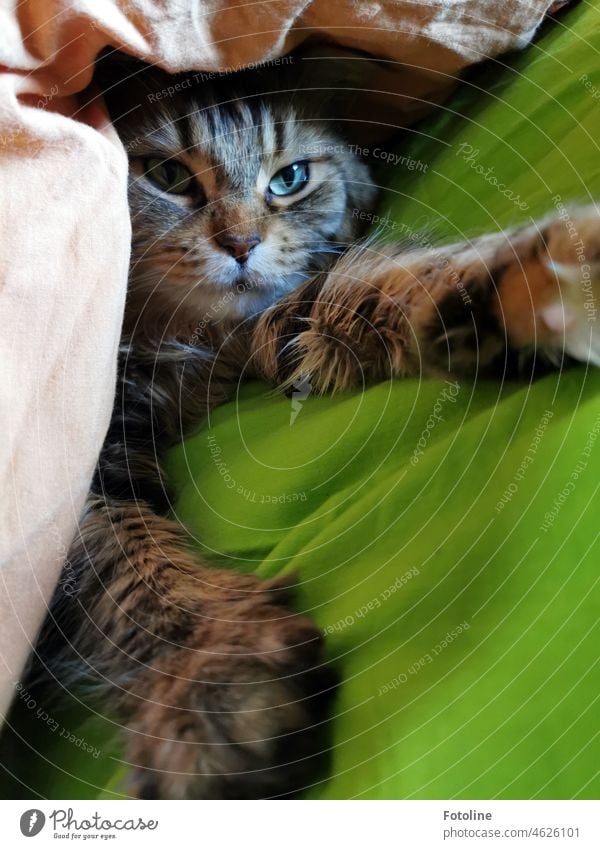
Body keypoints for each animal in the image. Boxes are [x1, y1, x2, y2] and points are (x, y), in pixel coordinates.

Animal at [34, 51, 600, 796]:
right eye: (168, 177)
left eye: (290, 179)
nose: (241, 244)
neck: (185, 341)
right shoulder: (83, 476)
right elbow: (136, 574)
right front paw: (210, 676)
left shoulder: (279, 325)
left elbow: (394, 288)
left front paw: (549, 284)